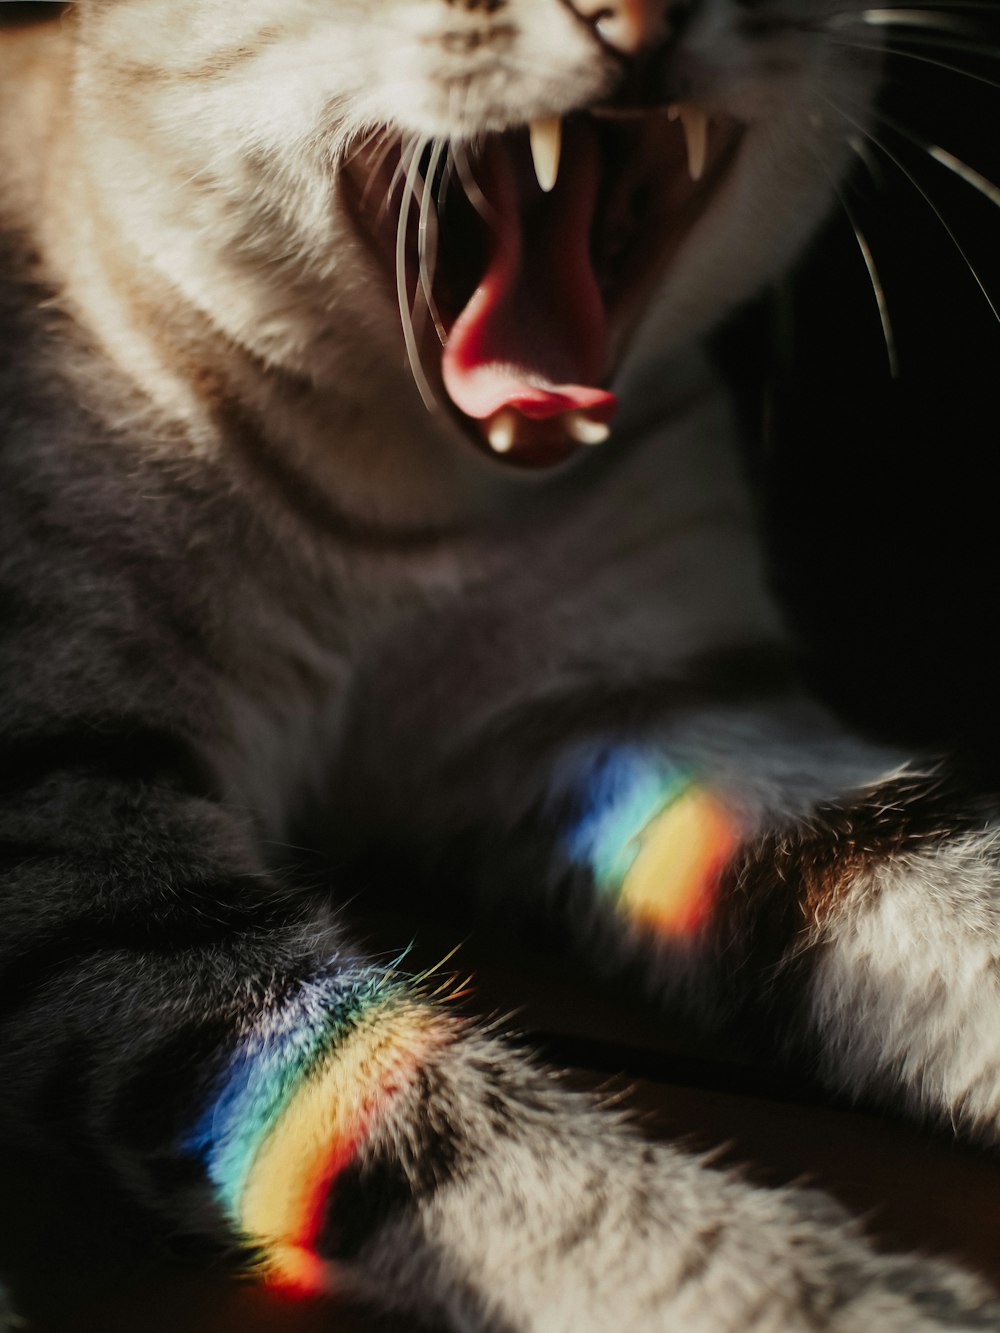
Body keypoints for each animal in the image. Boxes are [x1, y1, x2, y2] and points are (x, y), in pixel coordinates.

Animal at [1, 0, 1000, 1327]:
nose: (642, 16)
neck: (406, 510)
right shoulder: (81, 836)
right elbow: (456, 1134)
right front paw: (837, 1296)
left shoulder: (659, 729)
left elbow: (947, 892)